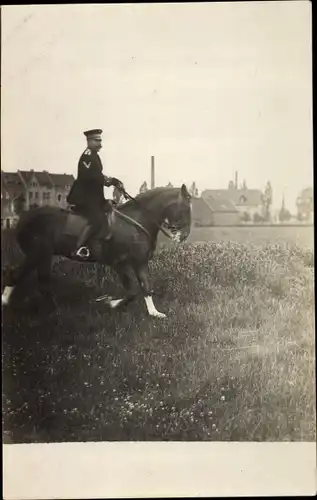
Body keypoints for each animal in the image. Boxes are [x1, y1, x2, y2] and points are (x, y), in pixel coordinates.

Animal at [0, 184, 190, 316]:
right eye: (186, 208)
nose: (184, 236)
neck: (135, 222)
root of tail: (23, 217)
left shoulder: (140, 263)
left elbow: (146, 288)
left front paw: (154, 313)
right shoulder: (120, 264)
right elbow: (131, 292)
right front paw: (110, 302)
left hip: (42, 256)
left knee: (39, 281)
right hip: (38, 254)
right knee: (19, 276)